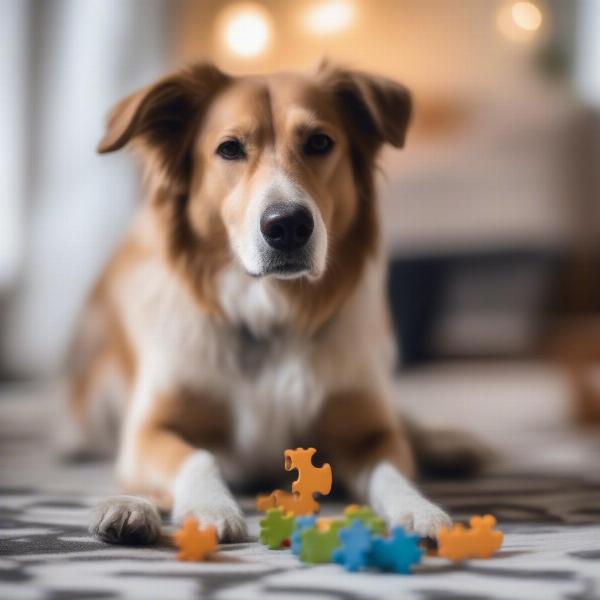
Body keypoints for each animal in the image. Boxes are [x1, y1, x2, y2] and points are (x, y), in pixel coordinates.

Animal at [64, 61, 460, 544]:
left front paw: (420, 510)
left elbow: (393, 472)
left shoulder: (369, 430)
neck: (271, 313)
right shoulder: (149, 430)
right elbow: (198, 456)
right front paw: (209, 508)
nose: (287, 225)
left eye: (319, 142)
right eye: (230, 149)